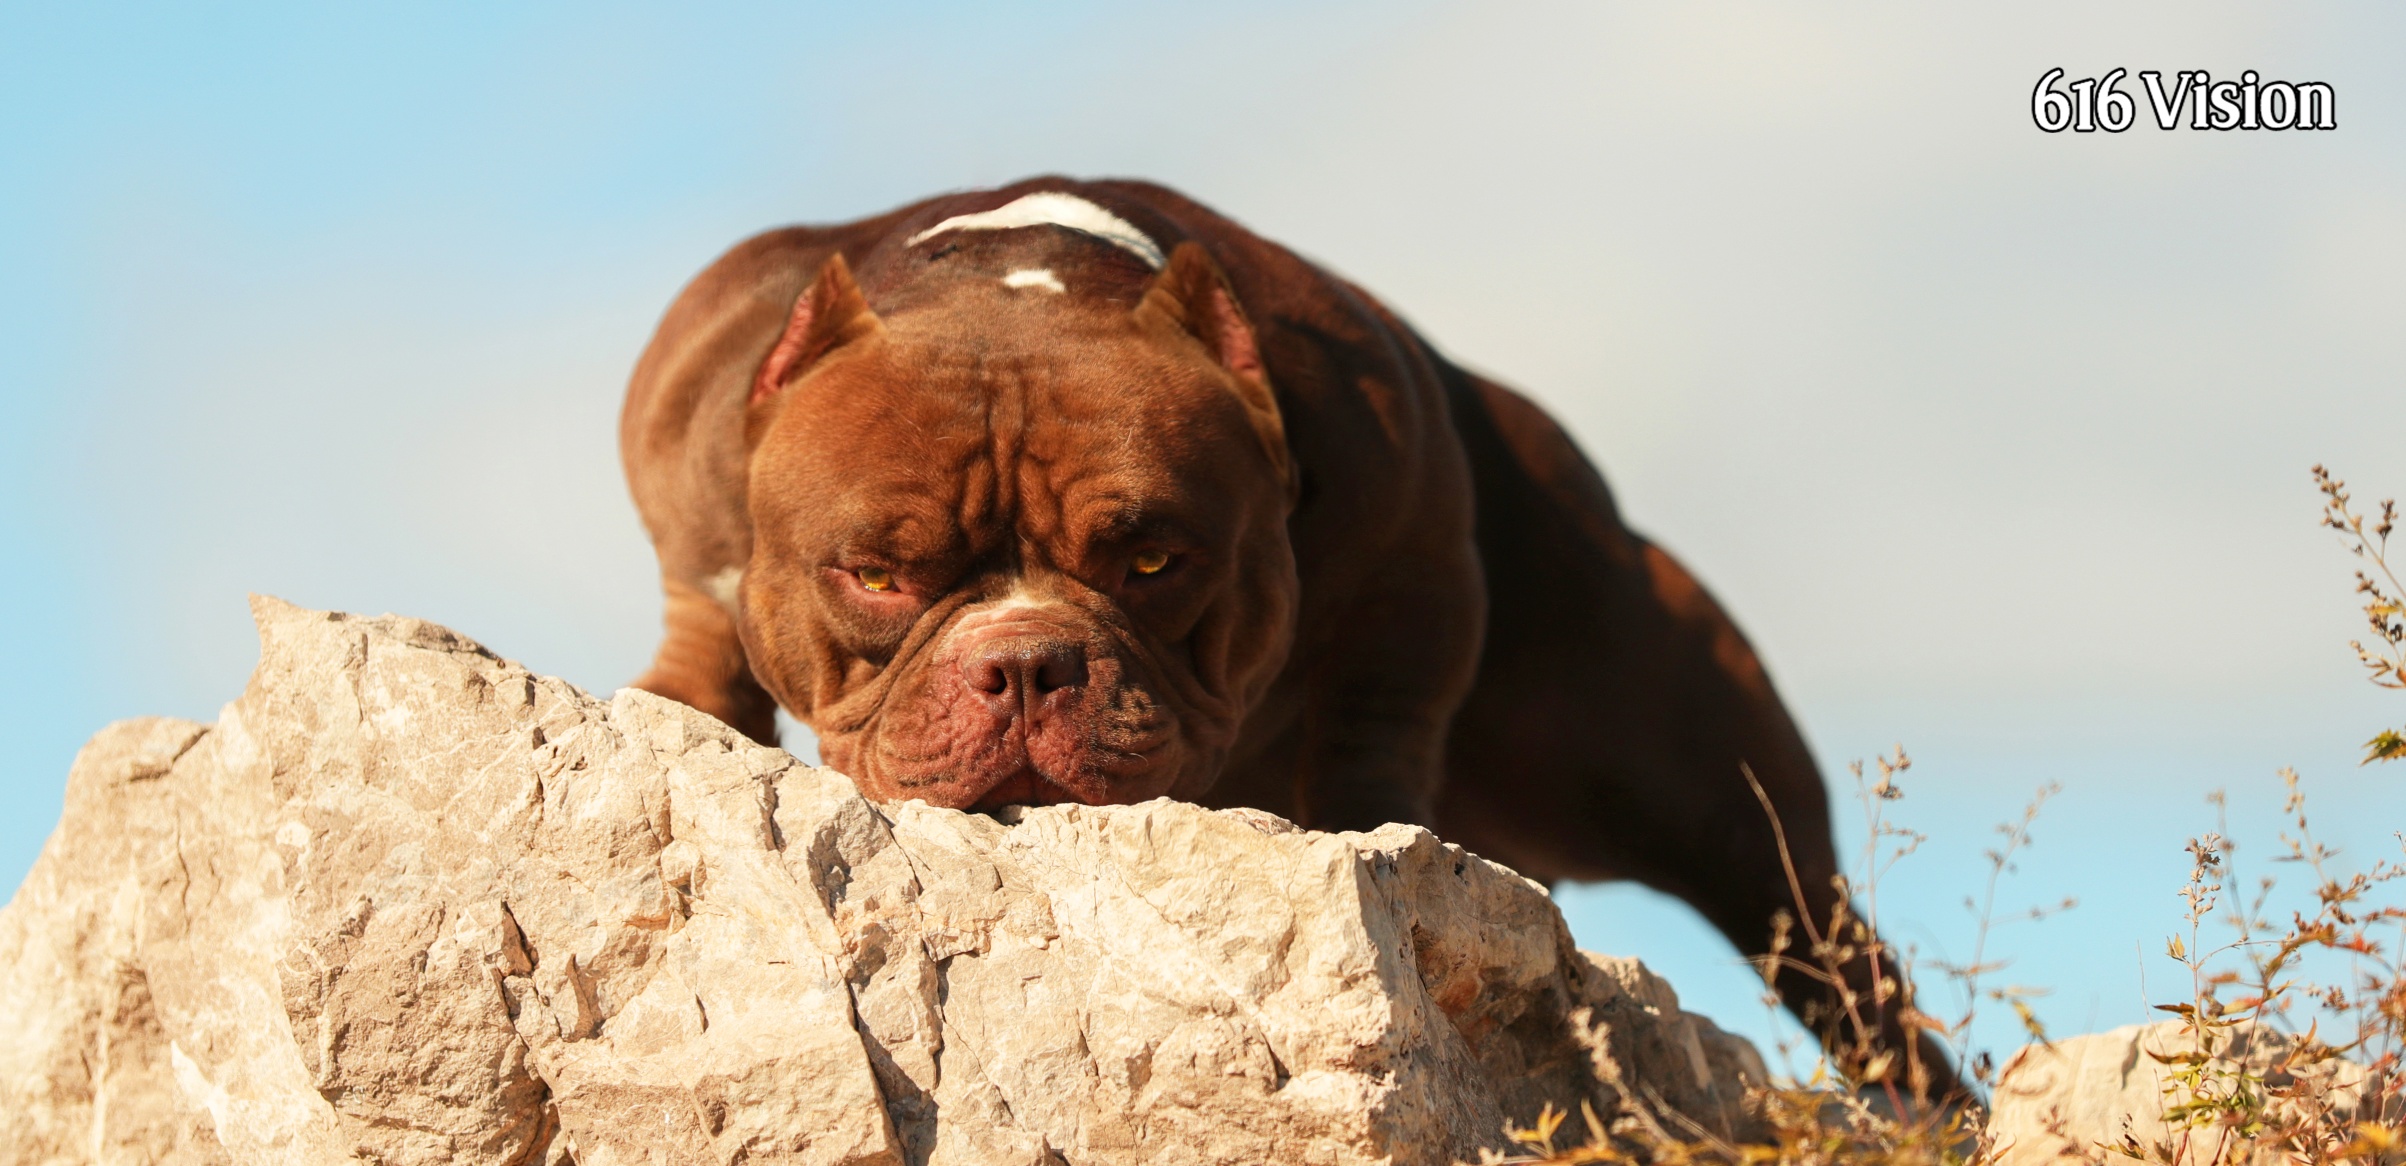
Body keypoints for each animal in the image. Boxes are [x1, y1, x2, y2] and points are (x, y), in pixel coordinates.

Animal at [615, 176, 1953, 1096]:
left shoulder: (1420, 572)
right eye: (878, 575)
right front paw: (682, 692)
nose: (1029, 660)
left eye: (1155, 561)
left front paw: (1366, 826)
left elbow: (1374, 725)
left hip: (1712, 796)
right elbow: (704, 636)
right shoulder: (693, 535)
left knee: (1834, 953)